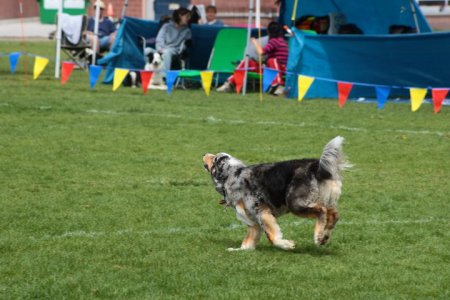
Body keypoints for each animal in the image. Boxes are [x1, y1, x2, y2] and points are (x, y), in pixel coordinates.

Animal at [201, 137, 352, 251]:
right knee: (334, 214)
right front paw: (237, 250)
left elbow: (272, 237)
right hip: (323, 199)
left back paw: (317, 236)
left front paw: (287, 245)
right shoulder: (252, 222)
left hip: (295, 203)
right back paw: (324, 236)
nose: (204, 153)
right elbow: (247, 243)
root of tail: (315, 166)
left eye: (214, 159)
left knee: (322, 211)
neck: (232, 176)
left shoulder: (262, 212)